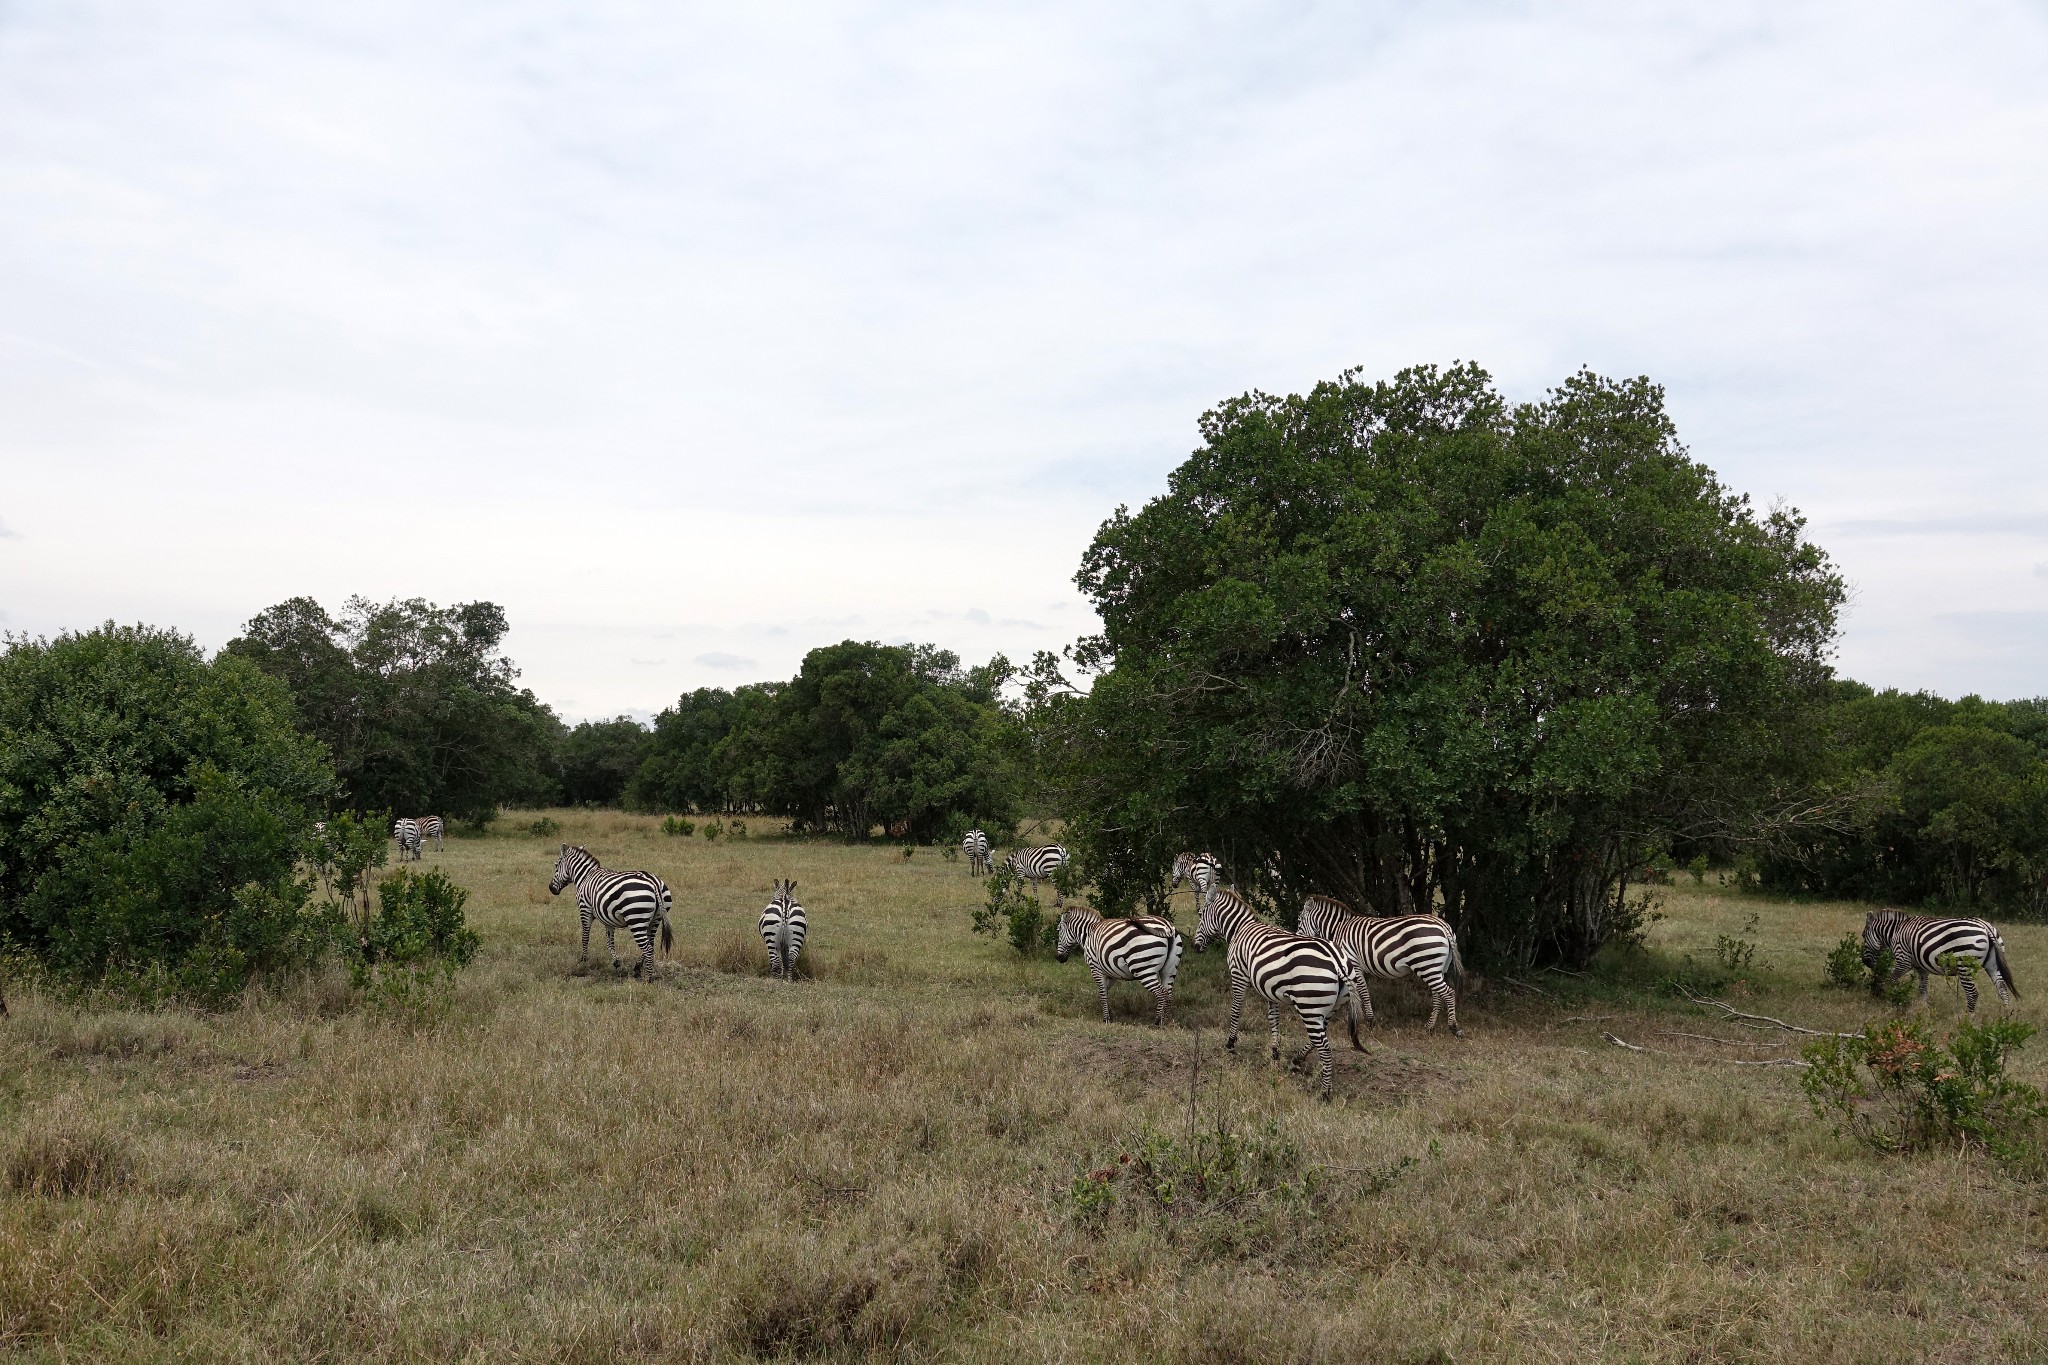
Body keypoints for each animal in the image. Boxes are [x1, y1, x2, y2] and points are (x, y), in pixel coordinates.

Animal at [548, 843, 675, 982]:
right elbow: (609, 941)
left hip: (636, 919)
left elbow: (585, 936)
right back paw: (637, 967)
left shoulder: (584, 909)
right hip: (656, 919)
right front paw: (616, 962)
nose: (551, 888)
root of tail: (655, 883)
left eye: (556, 865)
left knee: (648, 948)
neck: (585, 876)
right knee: (650, 943)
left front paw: (583, 961)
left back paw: (649, 979)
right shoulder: (607, 918)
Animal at [1056, 908, 1187, 1023]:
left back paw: (1158, 1021)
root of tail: (1167, 927)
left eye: (1059, 930)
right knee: (1168, 994)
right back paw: (1166, 1021)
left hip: (1143, 969)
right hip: (1170, 970)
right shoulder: (1112, 971)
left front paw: (1106, 1019)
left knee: (1161, 993)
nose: (1058, 958)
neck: (1088, 934)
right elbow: (1105, 991)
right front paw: (1110, 1014)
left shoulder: (1095, 967)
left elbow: (1102, 993)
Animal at [1196, 888, 1368, 1096]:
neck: (1239, 929)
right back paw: (1297, 1059)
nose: (1195, 947)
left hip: (1309, 1007)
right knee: (1319, 1036)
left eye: (1200, 914)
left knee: (1325, 1047)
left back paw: (1325, 1093)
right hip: (1330, 1006)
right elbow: (1273, 1018)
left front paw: (1230, 1044)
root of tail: (1337, 960)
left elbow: (1235, 1010)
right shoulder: (1269, 988)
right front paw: (1275, 1051)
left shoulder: (1239, 975)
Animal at [1302, 892, 1466, 1039]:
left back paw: (1454, 1027)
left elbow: (1362, 992)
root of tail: (1443, 925)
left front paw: (1368, 1022)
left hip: (1426, 966)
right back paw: (1429, 1028)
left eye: (1300, 920)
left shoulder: (1353, 964)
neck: (1338, 928)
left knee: (1449, 993)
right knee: (1438, 995)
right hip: (1438, 967)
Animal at [1859, 908, 2015, 1015]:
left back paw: (1968, 1021)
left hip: (1964, 966)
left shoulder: (1903, 960)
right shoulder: (1921, 968)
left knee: (1972, 994)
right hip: (1992, 964)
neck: (1895, 932)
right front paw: (1924, 1010)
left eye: (1863, 935)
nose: (1865, 962)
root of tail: (1985, 926)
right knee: (2002, 989)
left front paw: (1885, 997)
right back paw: (2005, 1019)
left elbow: (1890, 980)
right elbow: (1923, 989)